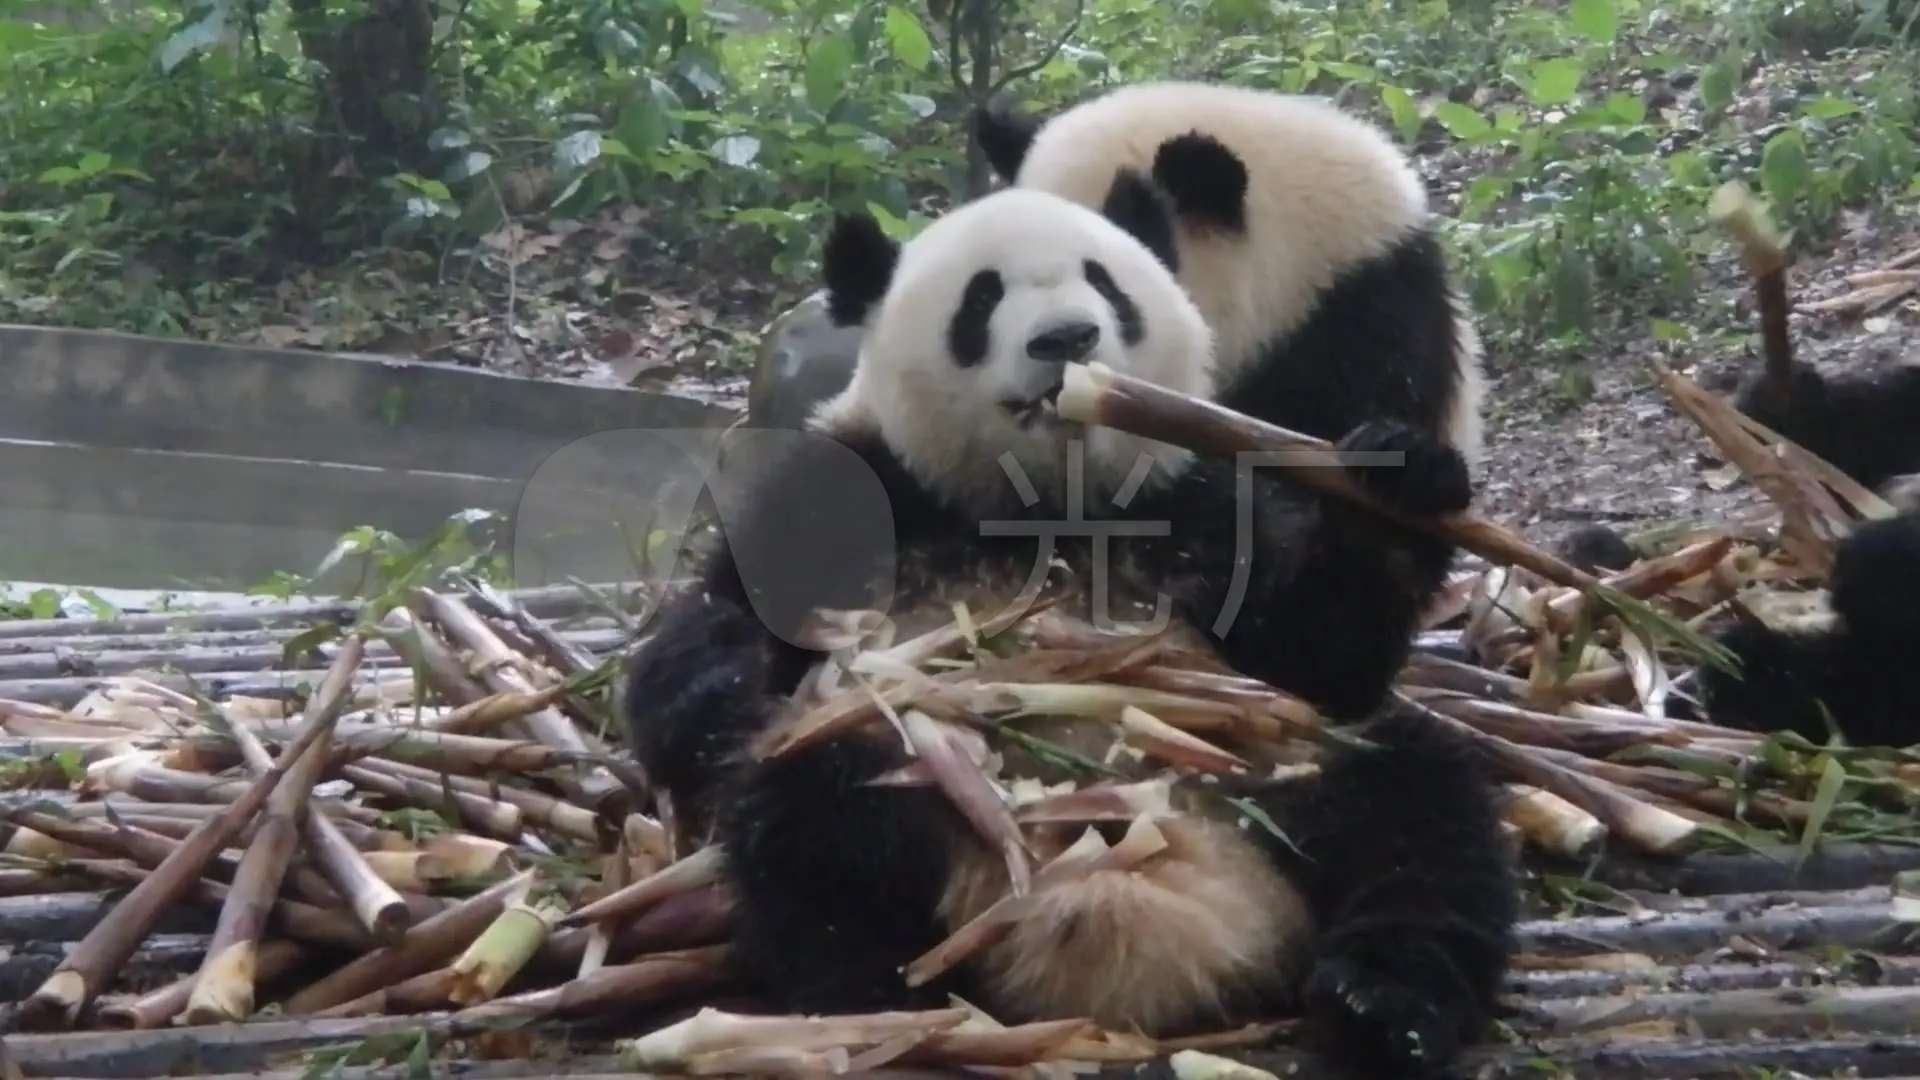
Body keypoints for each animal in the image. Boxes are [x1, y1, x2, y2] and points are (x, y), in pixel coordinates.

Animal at [622, 178, 1520, 1076]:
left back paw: (1382, 1004)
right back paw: (876, 999)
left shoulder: (1199, 504)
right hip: (910, 768)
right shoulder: (851, 492)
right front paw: (725, 680)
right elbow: (691, 665)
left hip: (1282, 766)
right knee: (814, 818)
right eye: (982, 298)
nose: (1067, 337)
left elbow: (1327, 653)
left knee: (1419, 817)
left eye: (1107, 284)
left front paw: (1401, 479)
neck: (1045, 509)